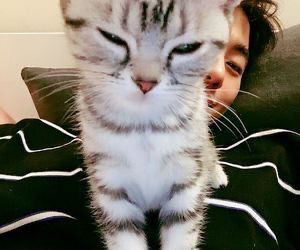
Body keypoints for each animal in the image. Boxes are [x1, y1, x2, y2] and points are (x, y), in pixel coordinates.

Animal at [59, 0, 240, 249]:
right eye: (112, 38)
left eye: (187, 48)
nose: (145, 83)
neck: (144, 128)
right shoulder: (109, 184)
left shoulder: (186, 181)